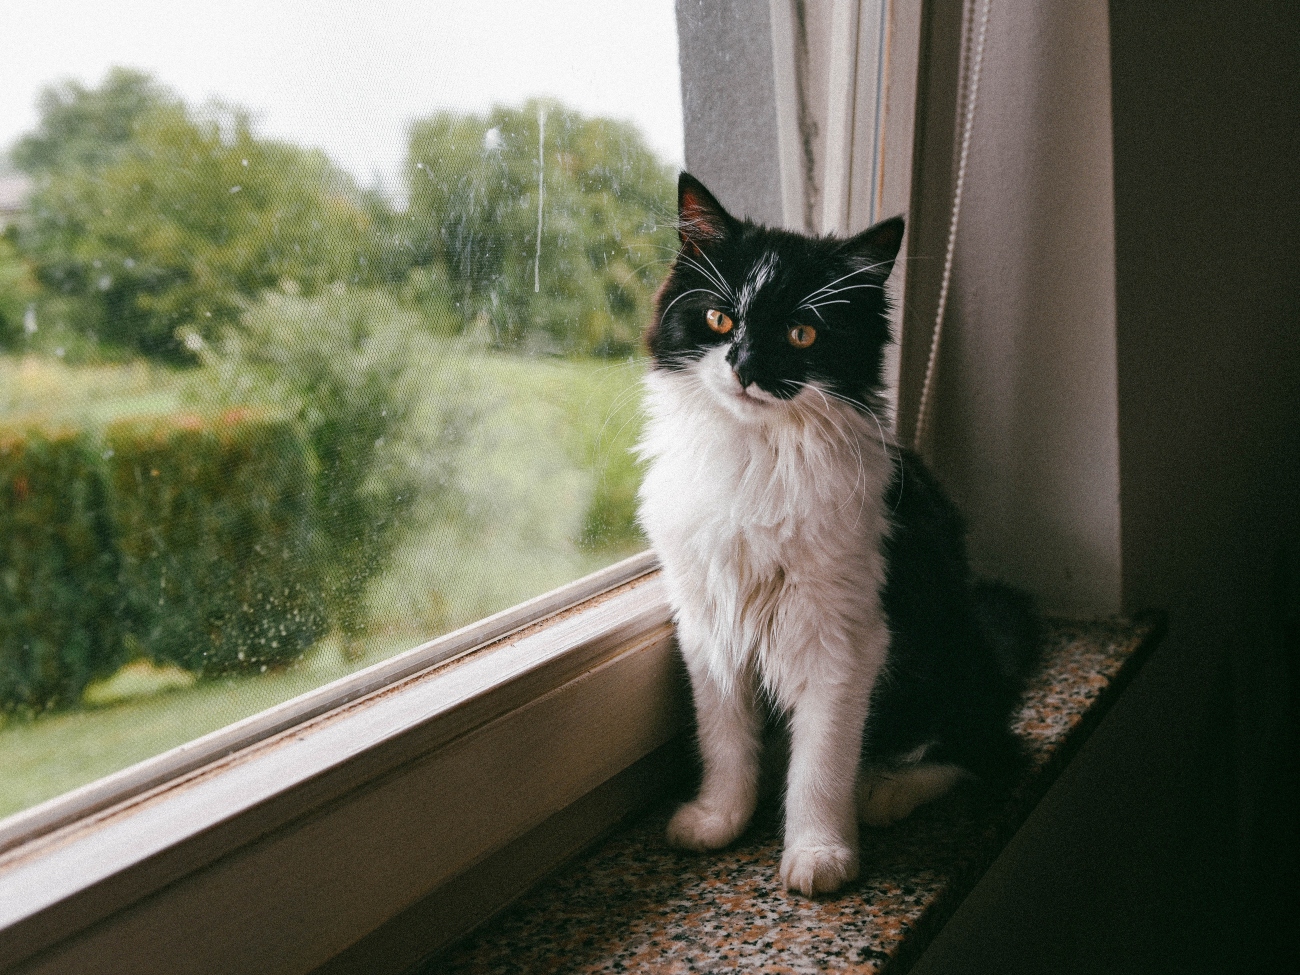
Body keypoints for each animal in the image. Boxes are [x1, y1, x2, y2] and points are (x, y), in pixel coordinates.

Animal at [634, 171, 1040, 899]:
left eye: (801, 334)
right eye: (720, 320)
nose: (744, 366)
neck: (757, 456)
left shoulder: (842, 638)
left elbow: (820, 764)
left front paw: (819, 855)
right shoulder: (709, 627)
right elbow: (725, 740)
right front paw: (719, 818)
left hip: (946, 666)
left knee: (983, 749)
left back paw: (881, 791)